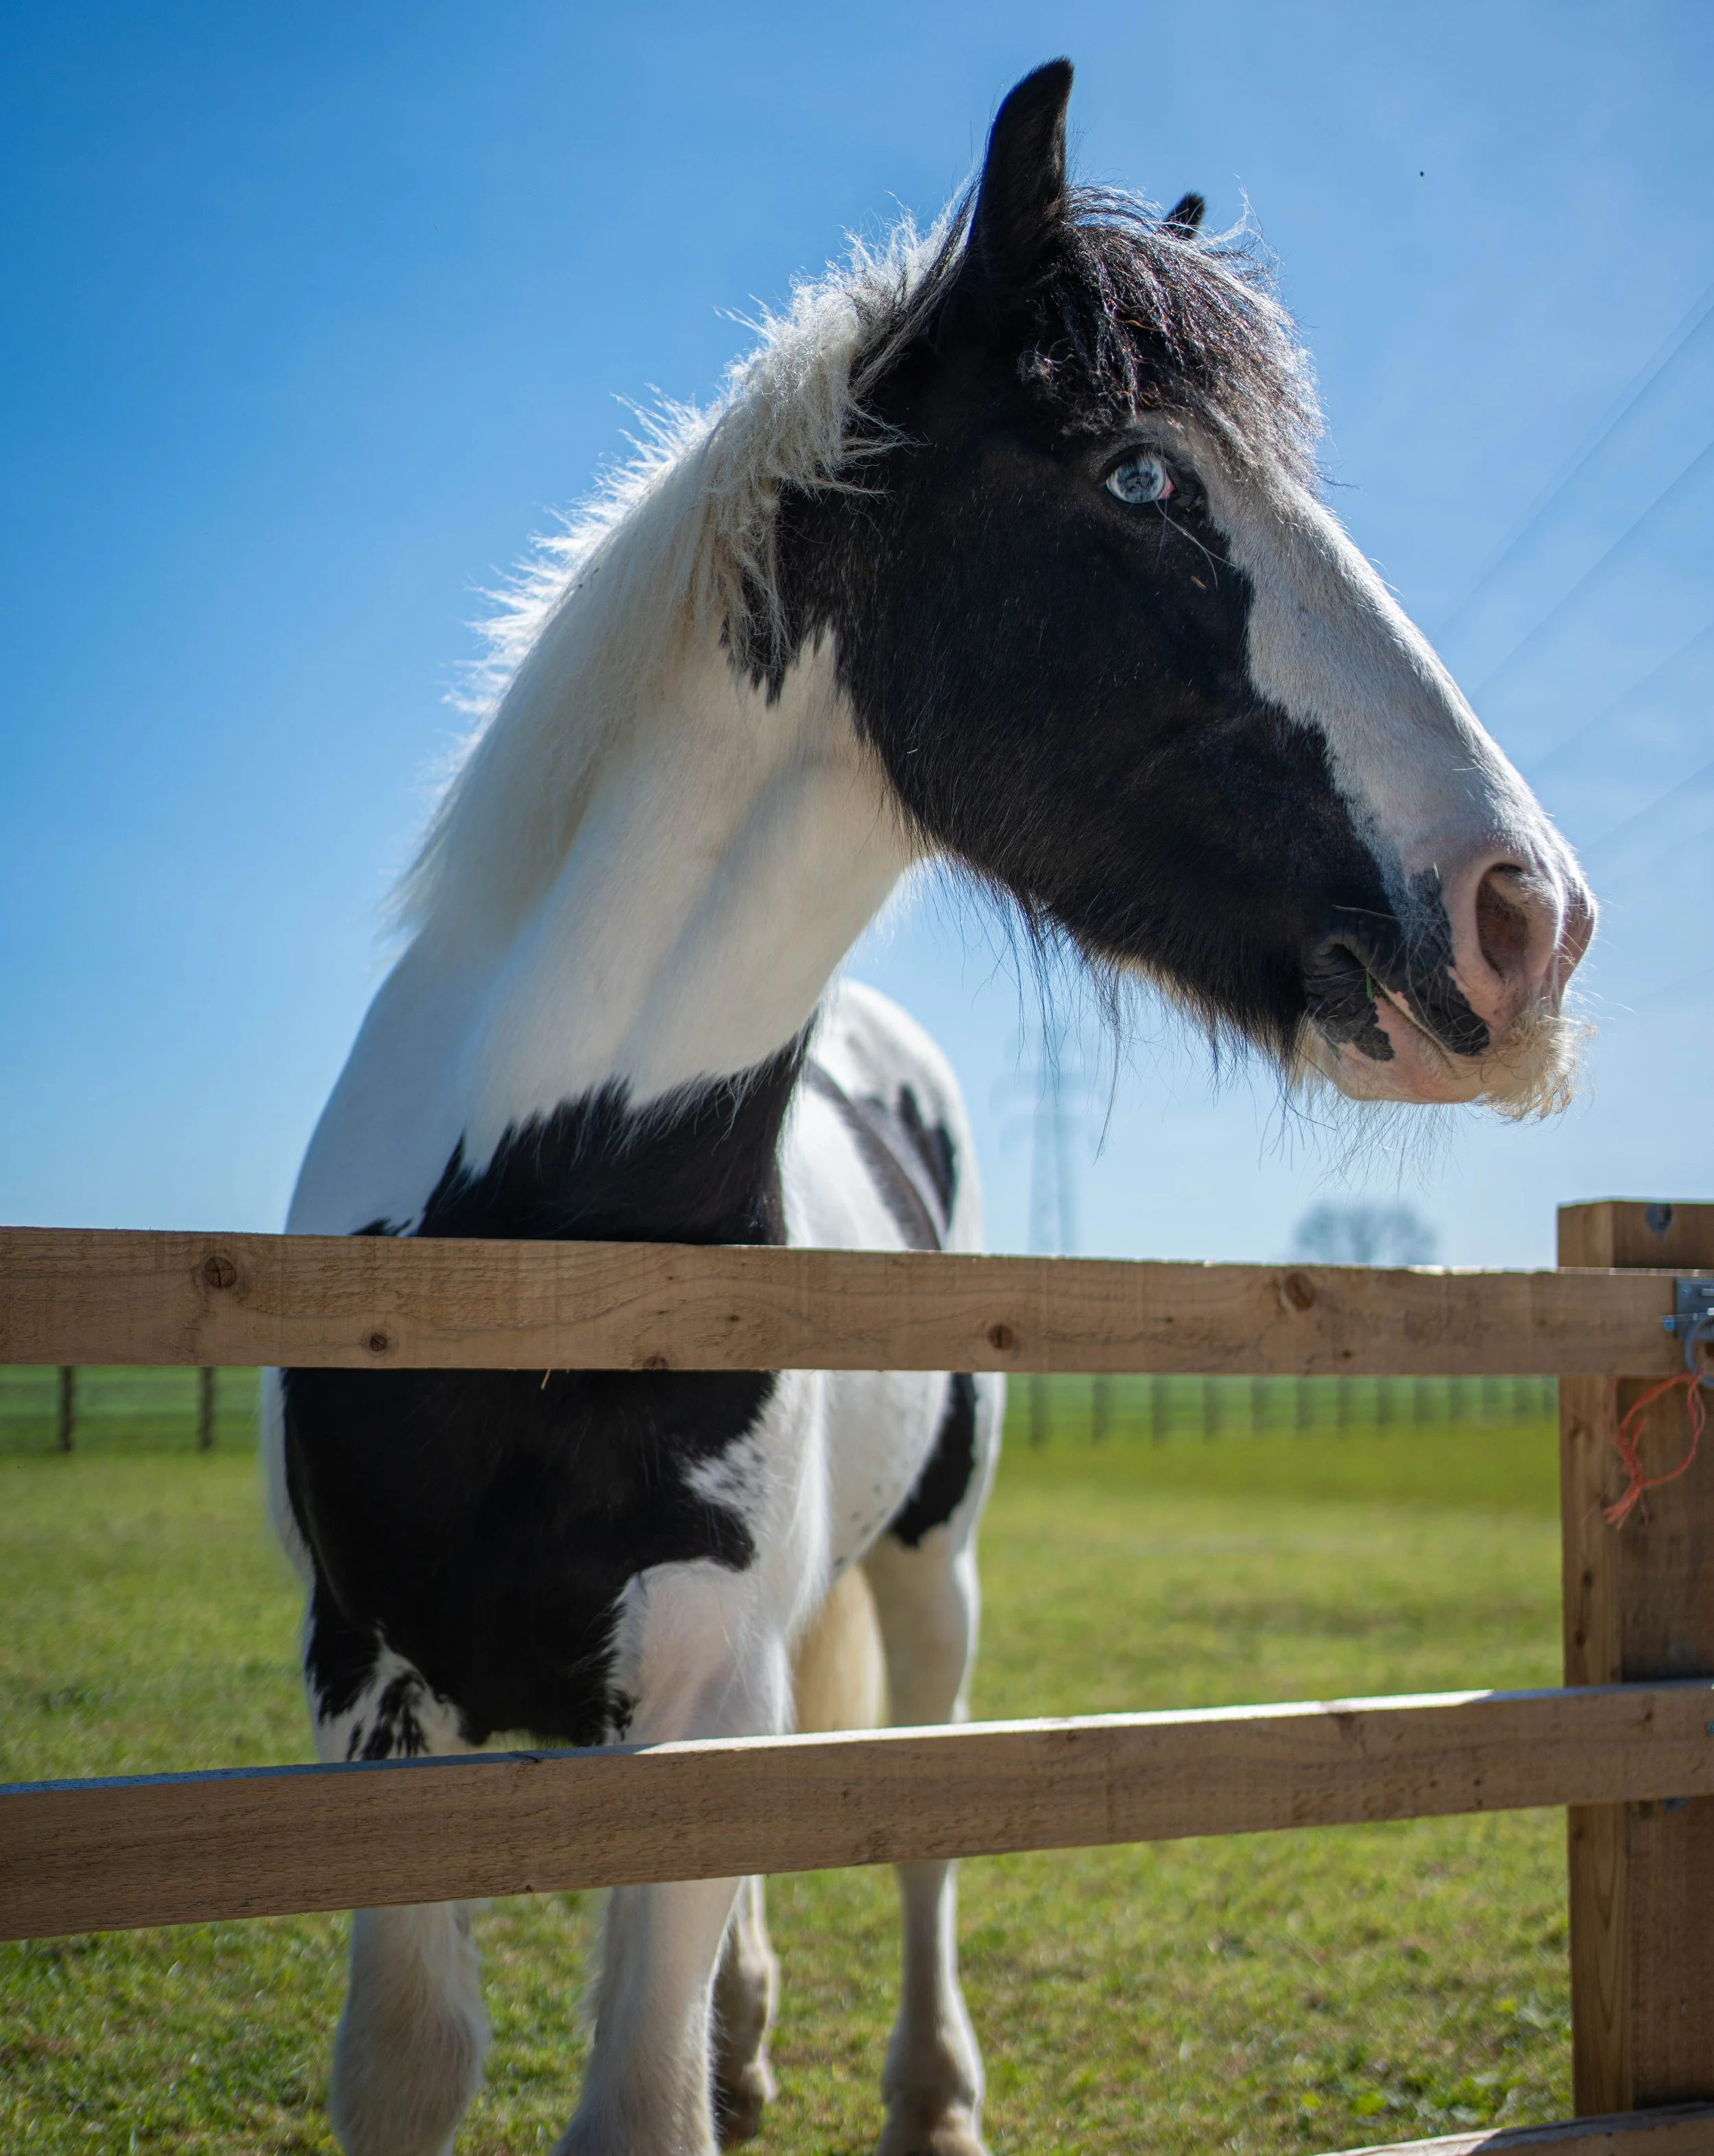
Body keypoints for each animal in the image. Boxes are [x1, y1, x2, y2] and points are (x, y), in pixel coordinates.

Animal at [263, 58, 1594, 2156]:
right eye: (1139, 478)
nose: (1528, 918)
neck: (543, 1249)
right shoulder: (363, 1698)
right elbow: (420, 2063)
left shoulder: (701, 1698)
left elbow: (651, 2085)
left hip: (931, 1578)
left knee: (916, 1810)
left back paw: (926, 2093)